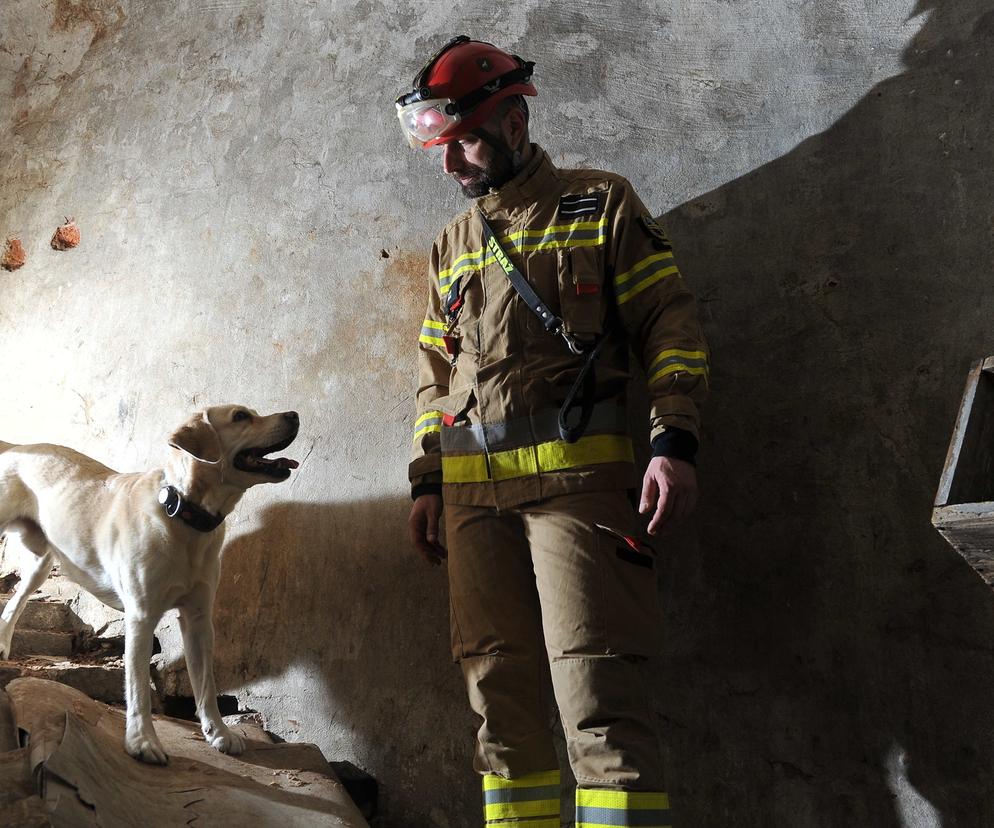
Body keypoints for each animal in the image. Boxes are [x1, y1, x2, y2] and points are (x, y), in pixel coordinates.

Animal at [0, 408, 298, 764]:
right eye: (241, 416)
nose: (294, 414)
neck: (183, 515)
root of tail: (18, 447)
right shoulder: (141, 617)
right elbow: (139, 687)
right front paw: (142, 740)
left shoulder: (199, 620)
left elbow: (206, 685)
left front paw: (218, 733)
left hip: (41, 564)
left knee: (13, 603)